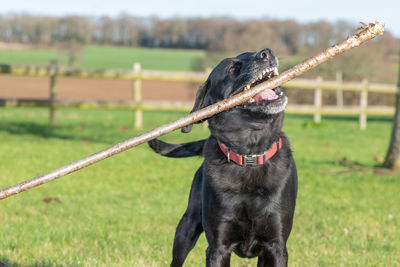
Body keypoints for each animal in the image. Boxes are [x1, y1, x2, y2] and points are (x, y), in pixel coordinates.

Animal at [149, 49, 296, 266]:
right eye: (232, 68)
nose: (267, 53)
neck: (249, 154)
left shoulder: (276, 246)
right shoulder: (218, 247)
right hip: (186, 228)